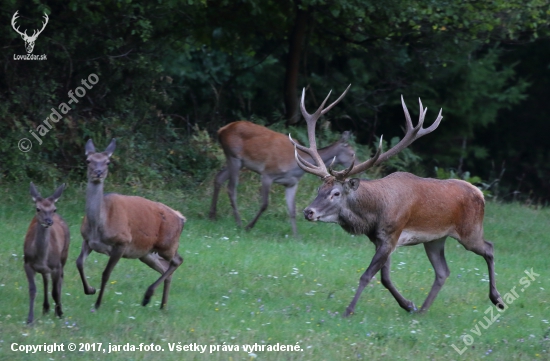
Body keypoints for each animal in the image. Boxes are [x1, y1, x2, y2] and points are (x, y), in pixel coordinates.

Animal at [24, 183, 69, 324]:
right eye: (38, 208)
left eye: (54, 209)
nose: (49, 221)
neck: (41, 258)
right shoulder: (27, 263)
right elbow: (32, 290)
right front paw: (30, 319)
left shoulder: (56, 266)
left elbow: (55, 292)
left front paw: (60, 313)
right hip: (46, 269)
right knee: (46, 279)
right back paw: (46, 308)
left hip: (64, 255)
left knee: (60, 280)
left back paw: (56, 309)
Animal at [76, 139, 187, 308]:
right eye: (88, 160)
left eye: (108, 162)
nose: (98, 173)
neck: (99, 225)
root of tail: (181, 217)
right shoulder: (87, 240)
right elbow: (79, 263)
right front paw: (90, 290)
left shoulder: (122, 242)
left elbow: (106, 274)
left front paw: (97, 304)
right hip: (147, 253)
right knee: (165, 269)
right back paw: (162, 306)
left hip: (167, 245)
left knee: (177, 261)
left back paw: (148, 296)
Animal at [209, 119, 356, 235]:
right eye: (352, 153)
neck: (295, 165)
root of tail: (221, 130)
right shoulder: (267, 173)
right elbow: (264, 204)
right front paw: (249, 227)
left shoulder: (291, 183)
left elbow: (292, 210)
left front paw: (297, 237)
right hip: (234, 157)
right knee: (231, 188)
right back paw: (238, 222)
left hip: (235, 160)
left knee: (218, 177)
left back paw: (213, 216)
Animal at [288, 86, 504, 316]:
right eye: (319, 189)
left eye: (336, 193)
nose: (308, 211)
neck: (372, 216)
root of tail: (480, 193)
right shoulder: (380, 240)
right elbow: (385, 278)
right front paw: (408, 304)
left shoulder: (392, 235)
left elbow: (367, 275)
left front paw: (348, 311)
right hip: (435, 238)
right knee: (443, 271)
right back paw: (422, 310)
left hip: (470, 231)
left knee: (489, 248)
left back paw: (497, 299)